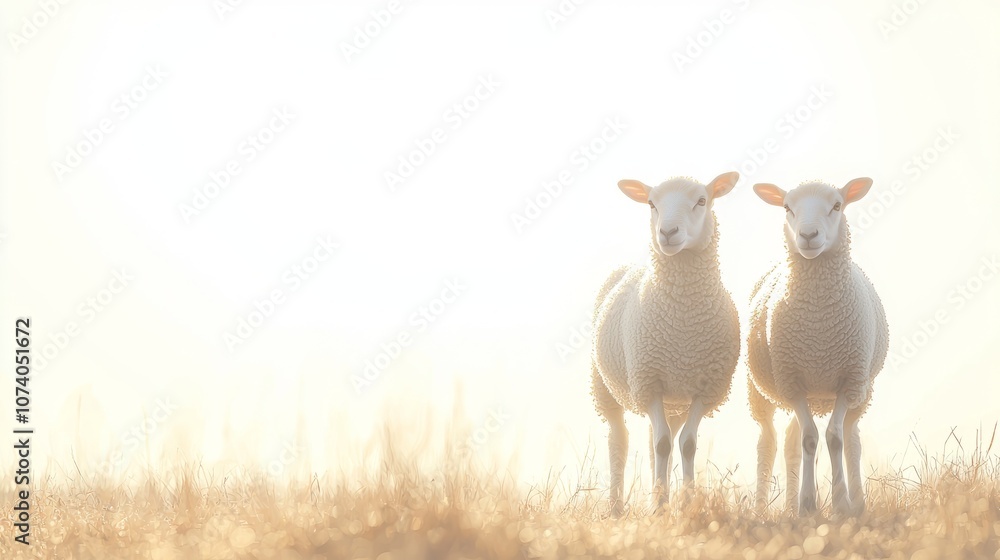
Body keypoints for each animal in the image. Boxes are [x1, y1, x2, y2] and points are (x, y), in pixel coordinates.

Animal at [591, 172, 741, 514]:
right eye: (651, 203)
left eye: (702, 200)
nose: (668, 232)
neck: (682, 323)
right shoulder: (649, 382)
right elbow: (661, 445)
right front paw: (660, 508)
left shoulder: (706, 389)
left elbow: (687, 444)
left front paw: (685, 503)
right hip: (605, 387)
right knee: (620, 439)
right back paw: (616, 507)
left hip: (675, 402)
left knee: (663, 440)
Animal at [747, 178, 889, 517]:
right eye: (787, 207)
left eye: (837, 205)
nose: (808, 235)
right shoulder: (792, 382)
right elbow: (810, 439)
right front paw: (808, 505)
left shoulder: (848, 381)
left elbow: (834, 439)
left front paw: (840, 504)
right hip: (760, 392)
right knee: (770, 440)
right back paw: (765, 509)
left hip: (863, 391)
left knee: (850, 438)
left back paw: (856, 502)